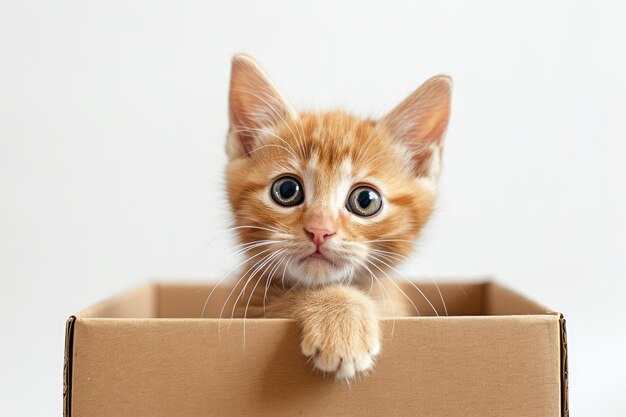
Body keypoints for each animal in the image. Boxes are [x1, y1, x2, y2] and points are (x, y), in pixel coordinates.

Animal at [222, 53, 450, 378]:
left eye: (365, 200)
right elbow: (284, 297)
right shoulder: (244, 306)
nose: (320, 230)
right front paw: (340, 313)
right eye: (286, 190)